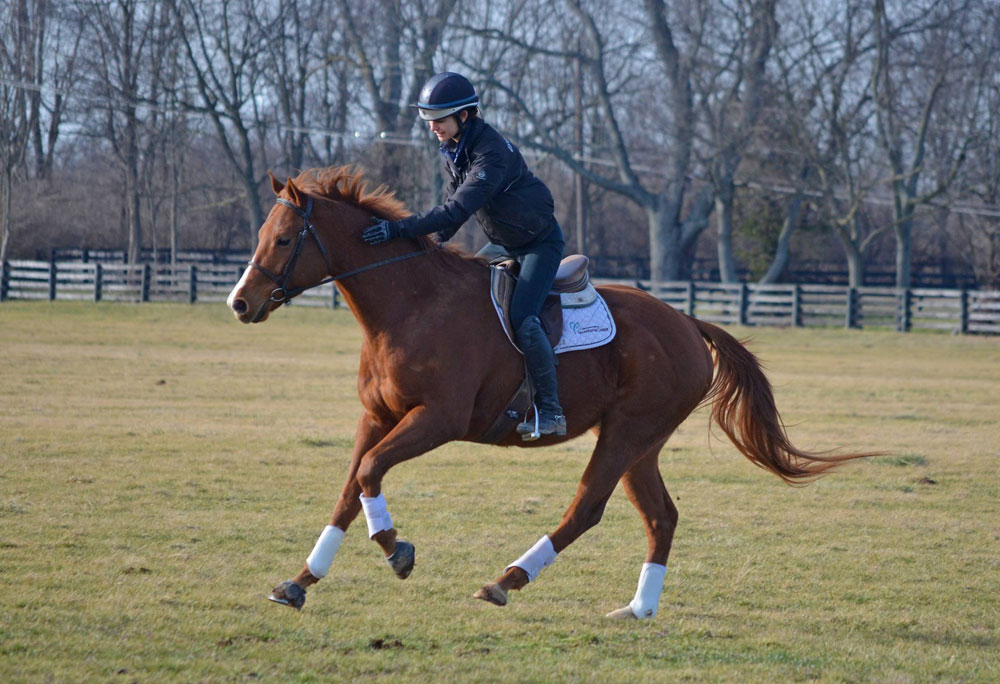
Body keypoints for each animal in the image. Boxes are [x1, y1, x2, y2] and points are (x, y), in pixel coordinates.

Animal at [227, 167, 868, 620]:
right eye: (262, 235)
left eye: (283, 239)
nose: (239, 302)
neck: (411, 304)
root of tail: (688, 322)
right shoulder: (377, 417)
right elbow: (350, 487)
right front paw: (300, 581)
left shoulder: (436, 419)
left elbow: (369, 475)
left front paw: (396, 550)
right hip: (641, 445)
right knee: (660, 516)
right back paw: (638, 609)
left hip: (627, 432)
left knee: (587, 507)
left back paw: (506, 581)